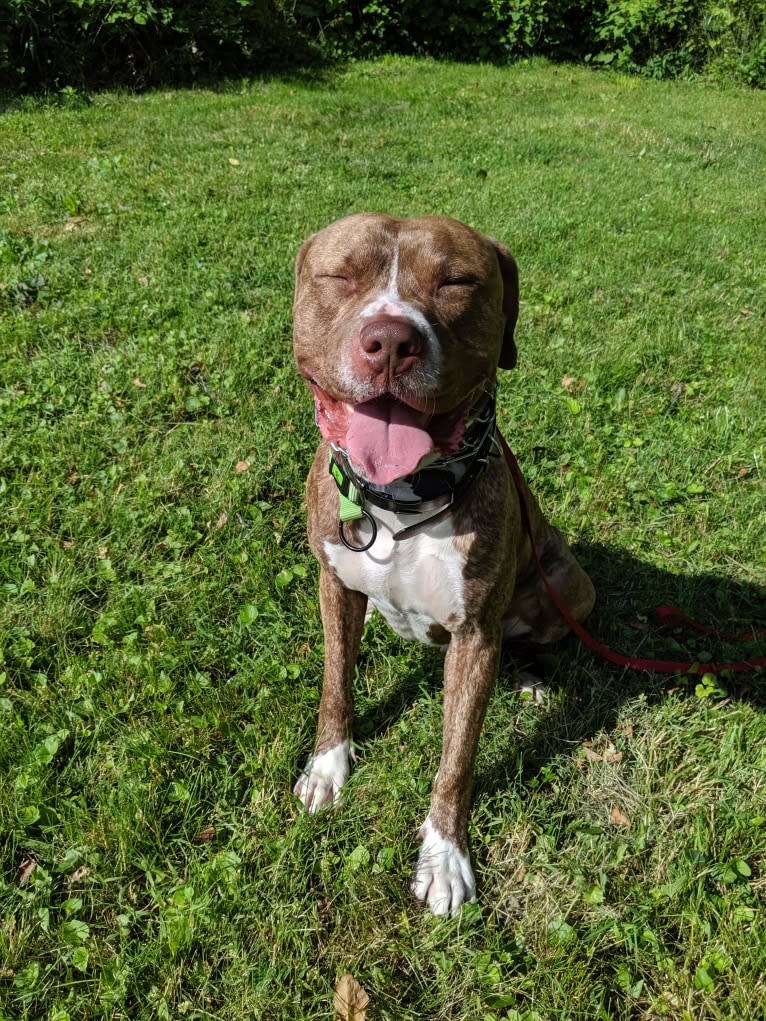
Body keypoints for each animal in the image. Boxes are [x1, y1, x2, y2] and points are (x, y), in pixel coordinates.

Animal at [290, 211, 596, 914]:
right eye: (339, 275)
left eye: (457, 282)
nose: (389, 341)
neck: (401, 503)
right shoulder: (333, 583)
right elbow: (335, 684)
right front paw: (327, 767)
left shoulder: (476, 632)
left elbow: (456, 758)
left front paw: (445, 857)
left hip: (571, 585)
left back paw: (531, 678)